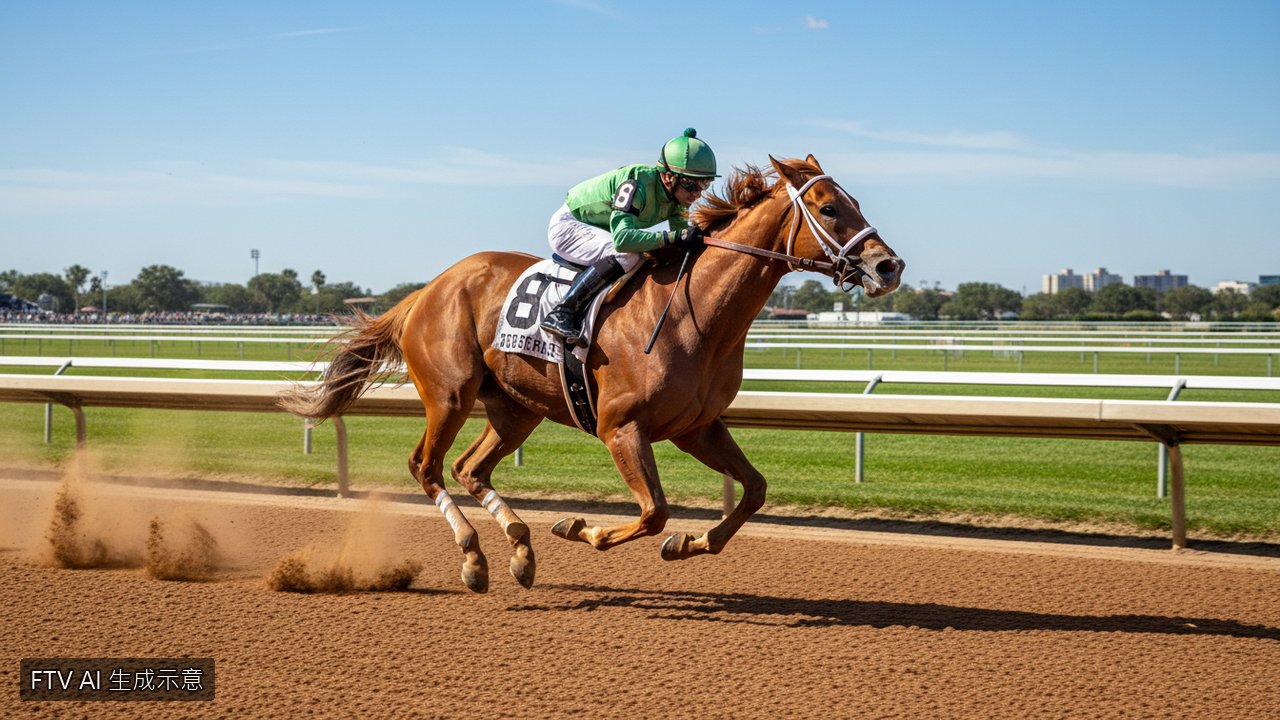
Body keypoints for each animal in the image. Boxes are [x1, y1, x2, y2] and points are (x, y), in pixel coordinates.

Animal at [280, 154, 904, 593]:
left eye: (851, 201)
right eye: (828, 208)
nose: (888, 265)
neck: (695, 313)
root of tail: (427, 289)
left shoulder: (696, 427)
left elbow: (752, 491)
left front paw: (688, 543)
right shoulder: (620, 428)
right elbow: (652, 511)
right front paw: (585, 528)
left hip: (515, 408)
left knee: (469, 468)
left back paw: (519, 549)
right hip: (450, 394)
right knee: (427, 466)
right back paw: (475, 558)